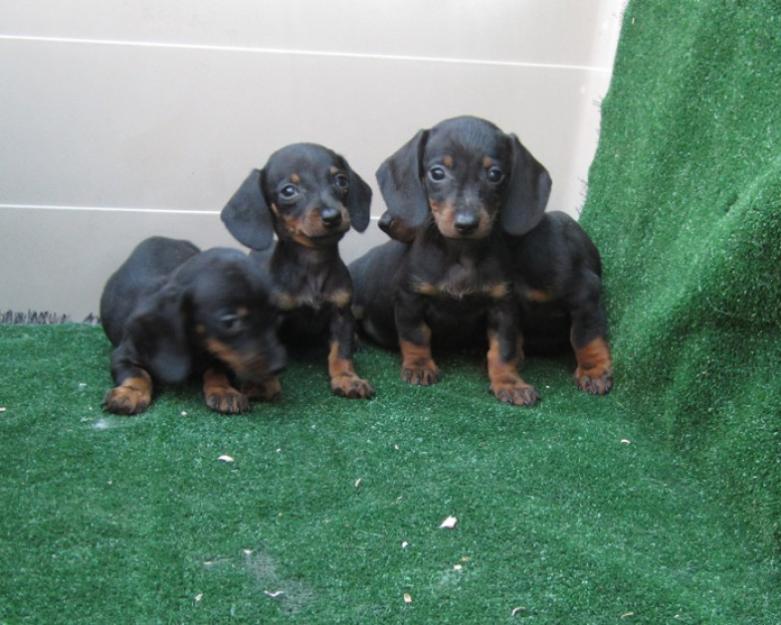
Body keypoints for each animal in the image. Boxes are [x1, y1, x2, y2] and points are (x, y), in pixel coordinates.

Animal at [99, 236, 284, 416]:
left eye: (275, 314)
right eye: (230, 322)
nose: (279, 367)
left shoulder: (223, 355)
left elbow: (217, 369)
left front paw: (224, 390)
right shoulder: (124, 353)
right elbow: (137, 373)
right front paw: (130, 393)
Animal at [219, 143, 374, 398]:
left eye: (341, 180)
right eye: (288, 191)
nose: (333, 216)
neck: (313, 265)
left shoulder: (341, 313)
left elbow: (340, 352)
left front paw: (346, 378)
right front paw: (262, 384)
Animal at [350, 115, 552, 404]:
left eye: (495, 174)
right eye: (437, 173)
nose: (466, 223)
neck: (461, 255)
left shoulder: (503, 305)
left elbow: (503, 349)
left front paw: (509, 382)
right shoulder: (410, 298)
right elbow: (416, 336)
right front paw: (419, 367)